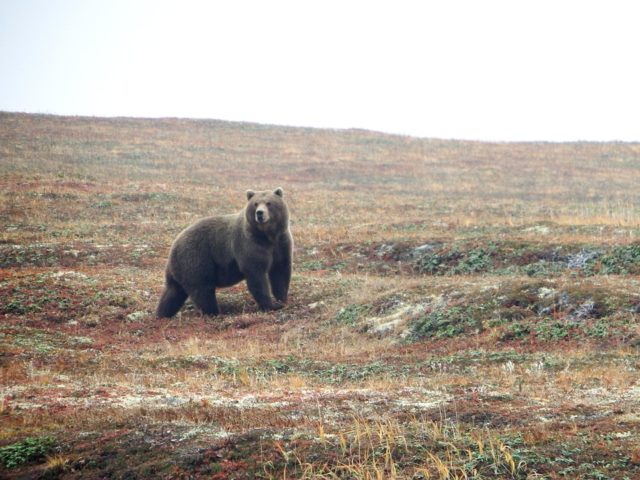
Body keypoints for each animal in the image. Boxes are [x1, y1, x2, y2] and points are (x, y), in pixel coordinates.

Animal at [156, 187, 293, 318]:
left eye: (269, 203)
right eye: (255, 204)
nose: (259, 213)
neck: (267, 235)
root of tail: (174, 244)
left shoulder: (281, 243)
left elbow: (280, 271)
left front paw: (281, 300)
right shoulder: (249, 244)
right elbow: (256, 274)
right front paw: (271, 305)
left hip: (179, 267)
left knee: (173, 292)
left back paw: (162, 314)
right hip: (196, 258)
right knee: (203, 289)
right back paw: (214, 312)